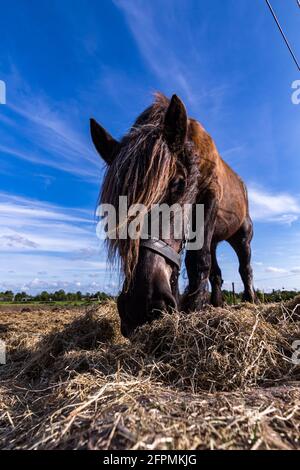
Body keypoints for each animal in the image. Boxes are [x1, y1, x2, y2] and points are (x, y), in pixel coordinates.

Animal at [89, 92, 255, 334]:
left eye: (178, 183)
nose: (141, 304)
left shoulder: (209, 199)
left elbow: (198, 261)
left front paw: (193, 308)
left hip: (241, 237)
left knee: (245, 268)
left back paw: (250, 301)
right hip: (215, 238)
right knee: (217, 273)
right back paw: (216, 305)